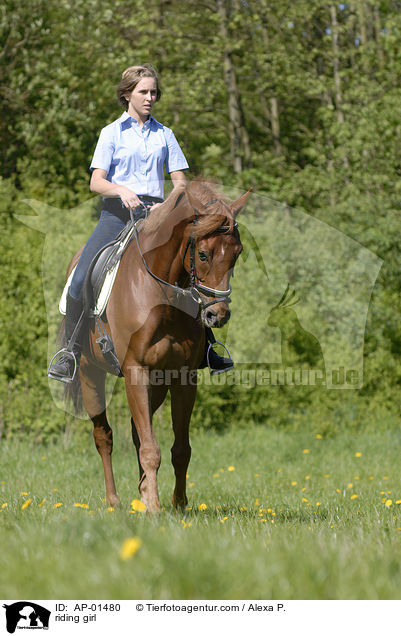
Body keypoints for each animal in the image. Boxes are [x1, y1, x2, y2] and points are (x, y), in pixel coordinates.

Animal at [63, 179, 248, 512]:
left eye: (237, 253)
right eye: (203, 254)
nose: (217, 315)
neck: (162, 296)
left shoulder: (183, 377)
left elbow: (179, 449)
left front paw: (177, 504)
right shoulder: (135, 370)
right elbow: (150, 448)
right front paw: (155, 510)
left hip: (157, 384)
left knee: (137, 435)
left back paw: (143, 494)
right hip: (88, 372)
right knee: (103, 436)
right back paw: (114, 501)